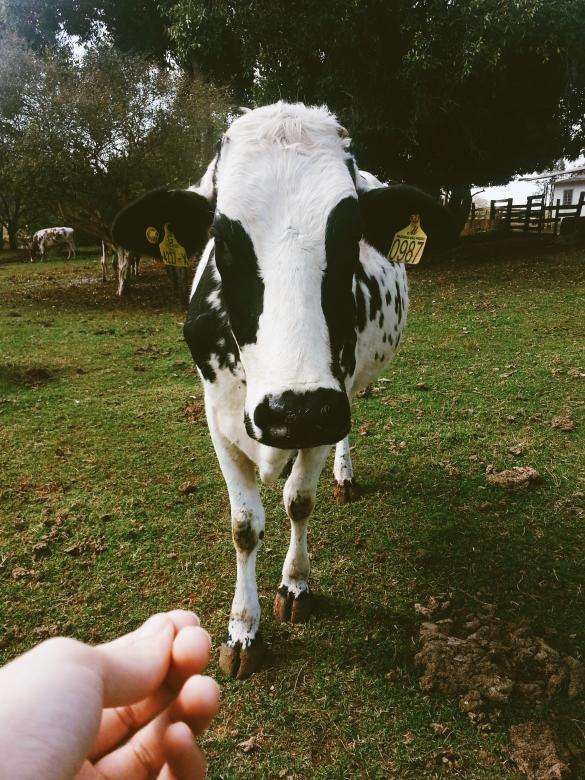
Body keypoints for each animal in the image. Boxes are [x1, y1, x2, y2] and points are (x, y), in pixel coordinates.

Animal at [112, 102, 455, 679]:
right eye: (222, 241)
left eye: (351, 235)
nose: (295, 411)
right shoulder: (219, 418)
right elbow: (244, 525)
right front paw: (242, 628)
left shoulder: (328, 404)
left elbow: (298, 500)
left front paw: (295, 584)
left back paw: (345, 474)